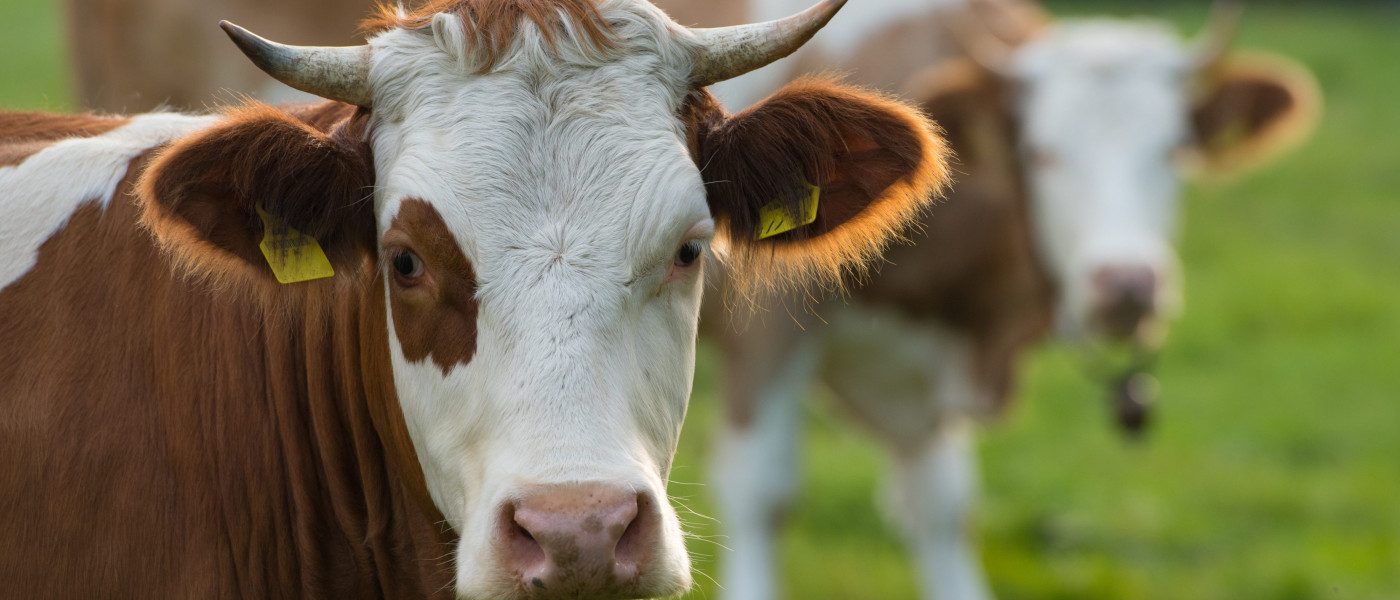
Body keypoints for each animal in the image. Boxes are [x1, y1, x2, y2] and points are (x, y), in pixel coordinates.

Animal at [657, 0, 1322, 598]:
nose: (1127, 285)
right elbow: (762, 491)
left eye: (1174, 151)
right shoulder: (767, 333)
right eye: (1042, 153)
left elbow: (943, 505)